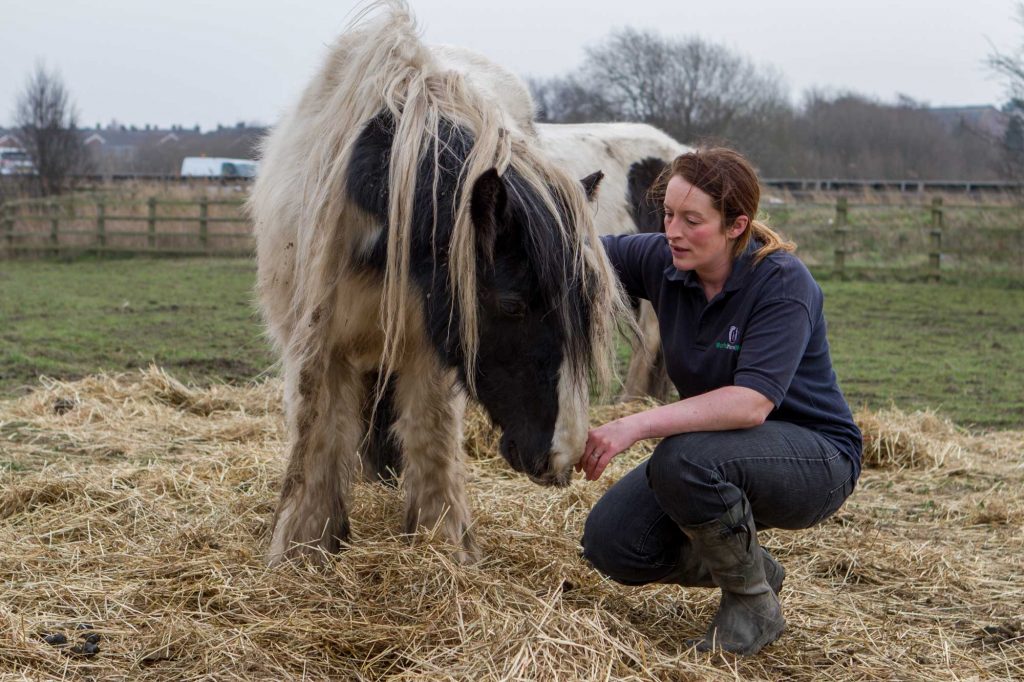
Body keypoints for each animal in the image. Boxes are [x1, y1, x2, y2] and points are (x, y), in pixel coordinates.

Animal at [250, 1, 626, 561]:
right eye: (511, 305)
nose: (562, 457)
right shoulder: (320, 345)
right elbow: (318, 437)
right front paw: (303, 548)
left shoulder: (428, 348)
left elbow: (430, 438)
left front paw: (442, 545)